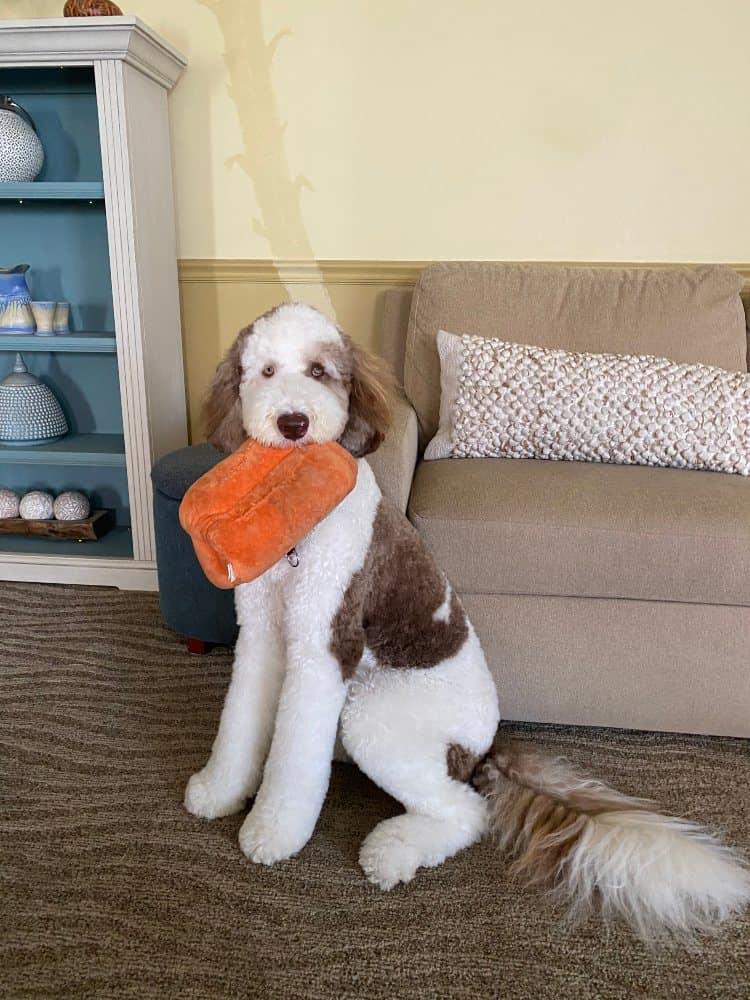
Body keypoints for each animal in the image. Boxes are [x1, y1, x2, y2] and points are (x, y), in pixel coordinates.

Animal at [187, 300, 750, 940]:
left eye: (319, 372)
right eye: (265, 371)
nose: (293, 423)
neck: (299, 534)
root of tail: (486, 747)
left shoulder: (323, 648)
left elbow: (294, 756)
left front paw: (272, 831)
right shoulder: (261, 636)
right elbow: (239, 722)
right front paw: (218, 791)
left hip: (375, 713)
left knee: (464, 810)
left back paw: (393, 851)